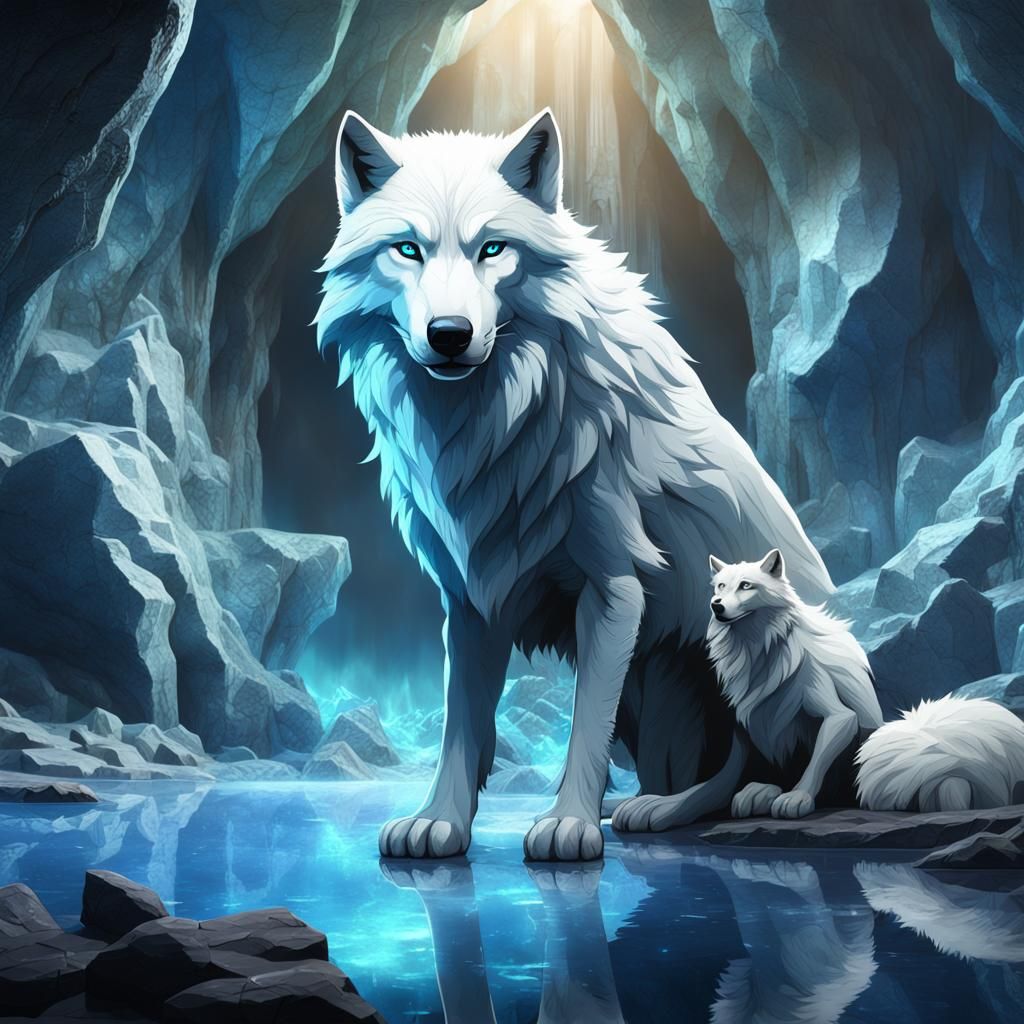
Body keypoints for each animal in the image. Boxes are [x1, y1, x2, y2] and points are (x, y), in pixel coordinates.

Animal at [316, 107, 833, 861]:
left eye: (493, 248)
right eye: (407, 249)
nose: (450, 334)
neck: (494, 422)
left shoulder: (615, 587)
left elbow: (587, 716)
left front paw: (568, 824)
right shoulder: (470, 597)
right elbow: (461, 722)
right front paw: (441, 819)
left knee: (733, 771)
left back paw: (655, 808)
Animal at [701, 550, 1024, 820]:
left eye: (746, 585)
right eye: (720, 587)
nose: (716, 606)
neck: (761, 649)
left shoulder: (835, 712)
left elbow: (816, 759)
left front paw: (797, 796)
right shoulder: (761, 722)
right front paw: (764, 790)